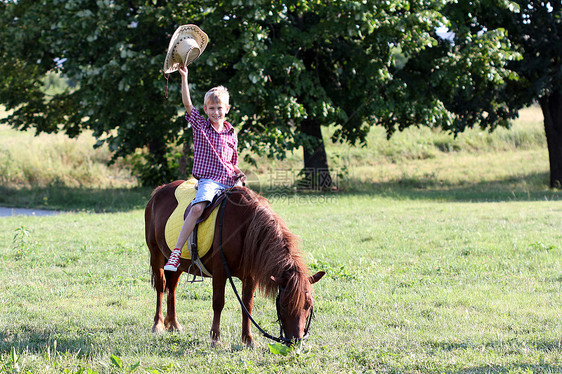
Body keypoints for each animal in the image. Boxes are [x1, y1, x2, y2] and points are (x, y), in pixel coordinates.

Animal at [144, 180, 324, 346]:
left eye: (309, 305)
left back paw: (173, 324)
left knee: (172, 288)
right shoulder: (219, 271)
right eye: (284, 306)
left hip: (179, 264)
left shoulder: (251, 276)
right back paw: (158, 324)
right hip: (156, 254)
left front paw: (248, 339)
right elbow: (218, 302)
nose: (296, 341)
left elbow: (247, 304)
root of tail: (159, 190)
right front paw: (215, 338)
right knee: (161, 286)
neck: (245, 227)